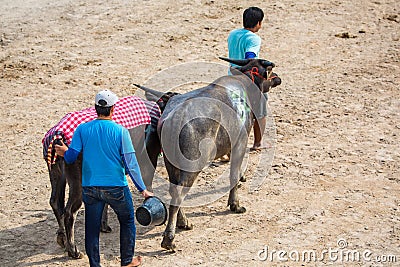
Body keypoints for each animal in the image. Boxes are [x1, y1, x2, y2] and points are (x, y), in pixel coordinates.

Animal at [134, 57, 282, 252]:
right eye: (270, 70)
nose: (278, 78)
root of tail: (173, 118)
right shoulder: (240, 143)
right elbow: (234, 174)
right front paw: (236, 205)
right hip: (192, 166)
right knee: (179, 192)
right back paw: (169, 239)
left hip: (171, 163)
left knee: (174, 190)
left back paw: (184, 223)